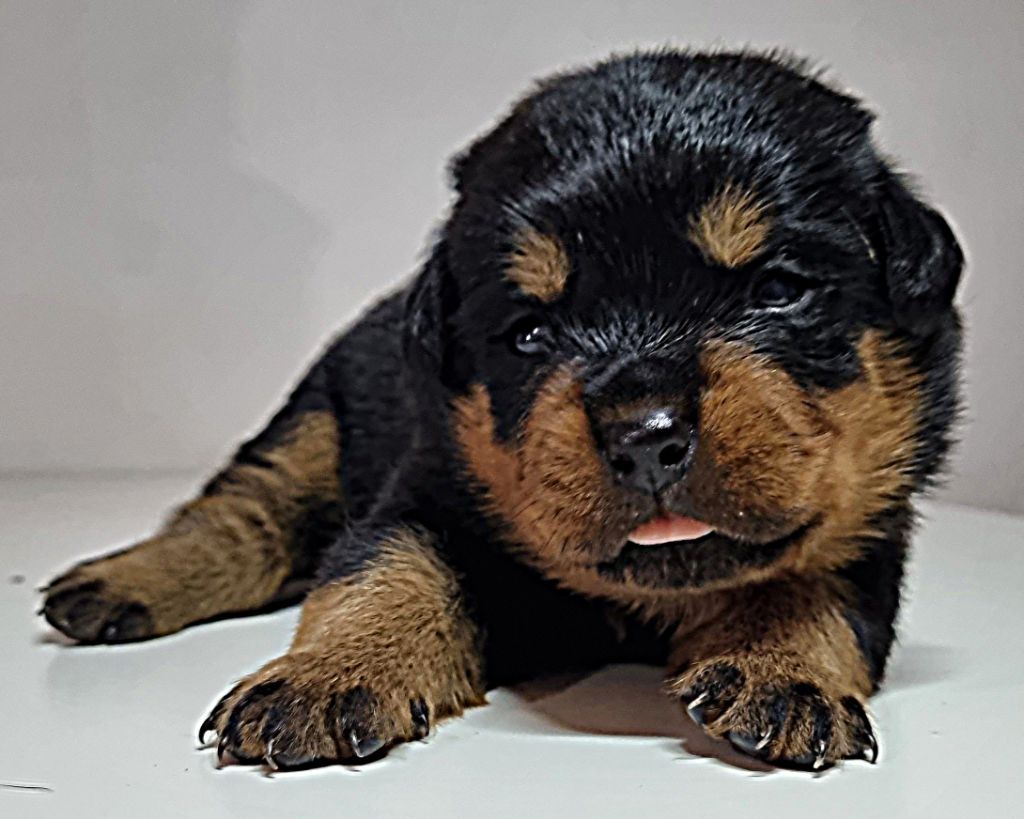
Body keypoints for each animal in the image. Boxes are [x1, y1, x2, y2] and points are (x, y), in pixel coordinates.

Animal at [41, 49, 964, 772]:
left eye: (777, 290)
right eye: (529, 332)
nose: (645, 437)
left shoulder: (871, 530)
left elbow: (810, 582)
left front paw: (779, 670)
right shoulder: (425, 490)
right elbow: (380, 570)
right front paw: (323, 675)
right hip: (313, 424)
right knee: (246, 514)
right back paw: (116, 582)